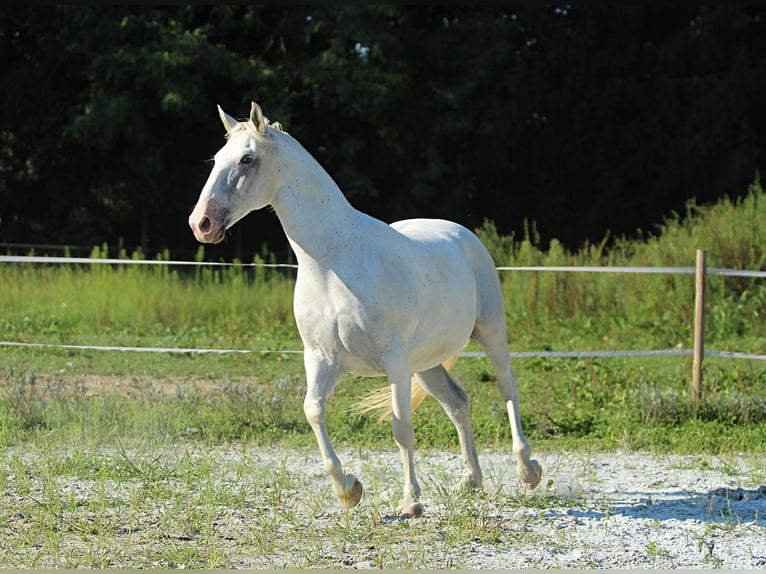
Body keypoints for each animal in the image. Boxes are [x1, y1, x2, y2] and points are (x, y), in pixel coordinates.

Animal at [189, 102, 544, 516]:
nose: (201, 223)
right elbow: (313, 410)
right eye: (217, 159)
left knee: (507, 388)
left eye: (247, 159)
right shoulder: (321, 359)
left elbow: (401, 427)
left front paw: (410, 501)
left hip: (489, 333)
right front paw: (348, 490)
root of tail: (461, 234)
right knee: (458, 403)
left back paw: (528, 471)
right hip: (425, 363)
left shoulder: (394, 361)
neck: (333, 262)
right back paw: (470, 481)